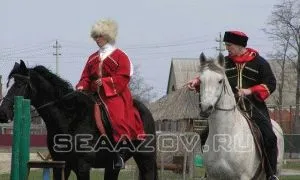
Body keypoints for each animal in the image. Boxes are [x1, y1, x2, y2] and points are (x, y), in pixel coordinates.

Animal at [0, 60, 158, 180]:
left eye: (20, 84)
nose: (3, 112)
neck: (68, 119)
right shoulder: (60, 165)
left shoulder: (83, 166)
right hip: (112, 167)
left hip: (146, 159)